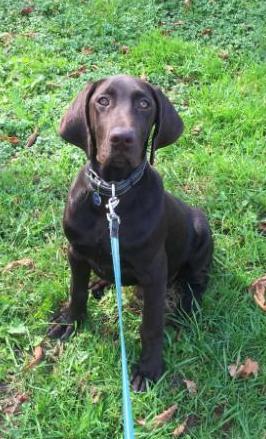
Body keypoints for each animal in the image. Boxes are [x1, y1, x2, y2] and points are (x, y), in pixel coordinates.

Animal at [47, 75, 213, 392]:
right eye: (103, 101)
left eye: (144, 104)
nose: (122, 139)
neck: (112, 194)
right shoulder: (76, 253)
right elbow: (76, 292)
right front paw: (70, 322)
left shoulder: (154, 270)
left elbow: (151, 326)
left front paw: (148, 369)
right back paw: (100, 283)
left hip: (201, 231)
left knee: (197, 282)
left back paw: (186, 309)